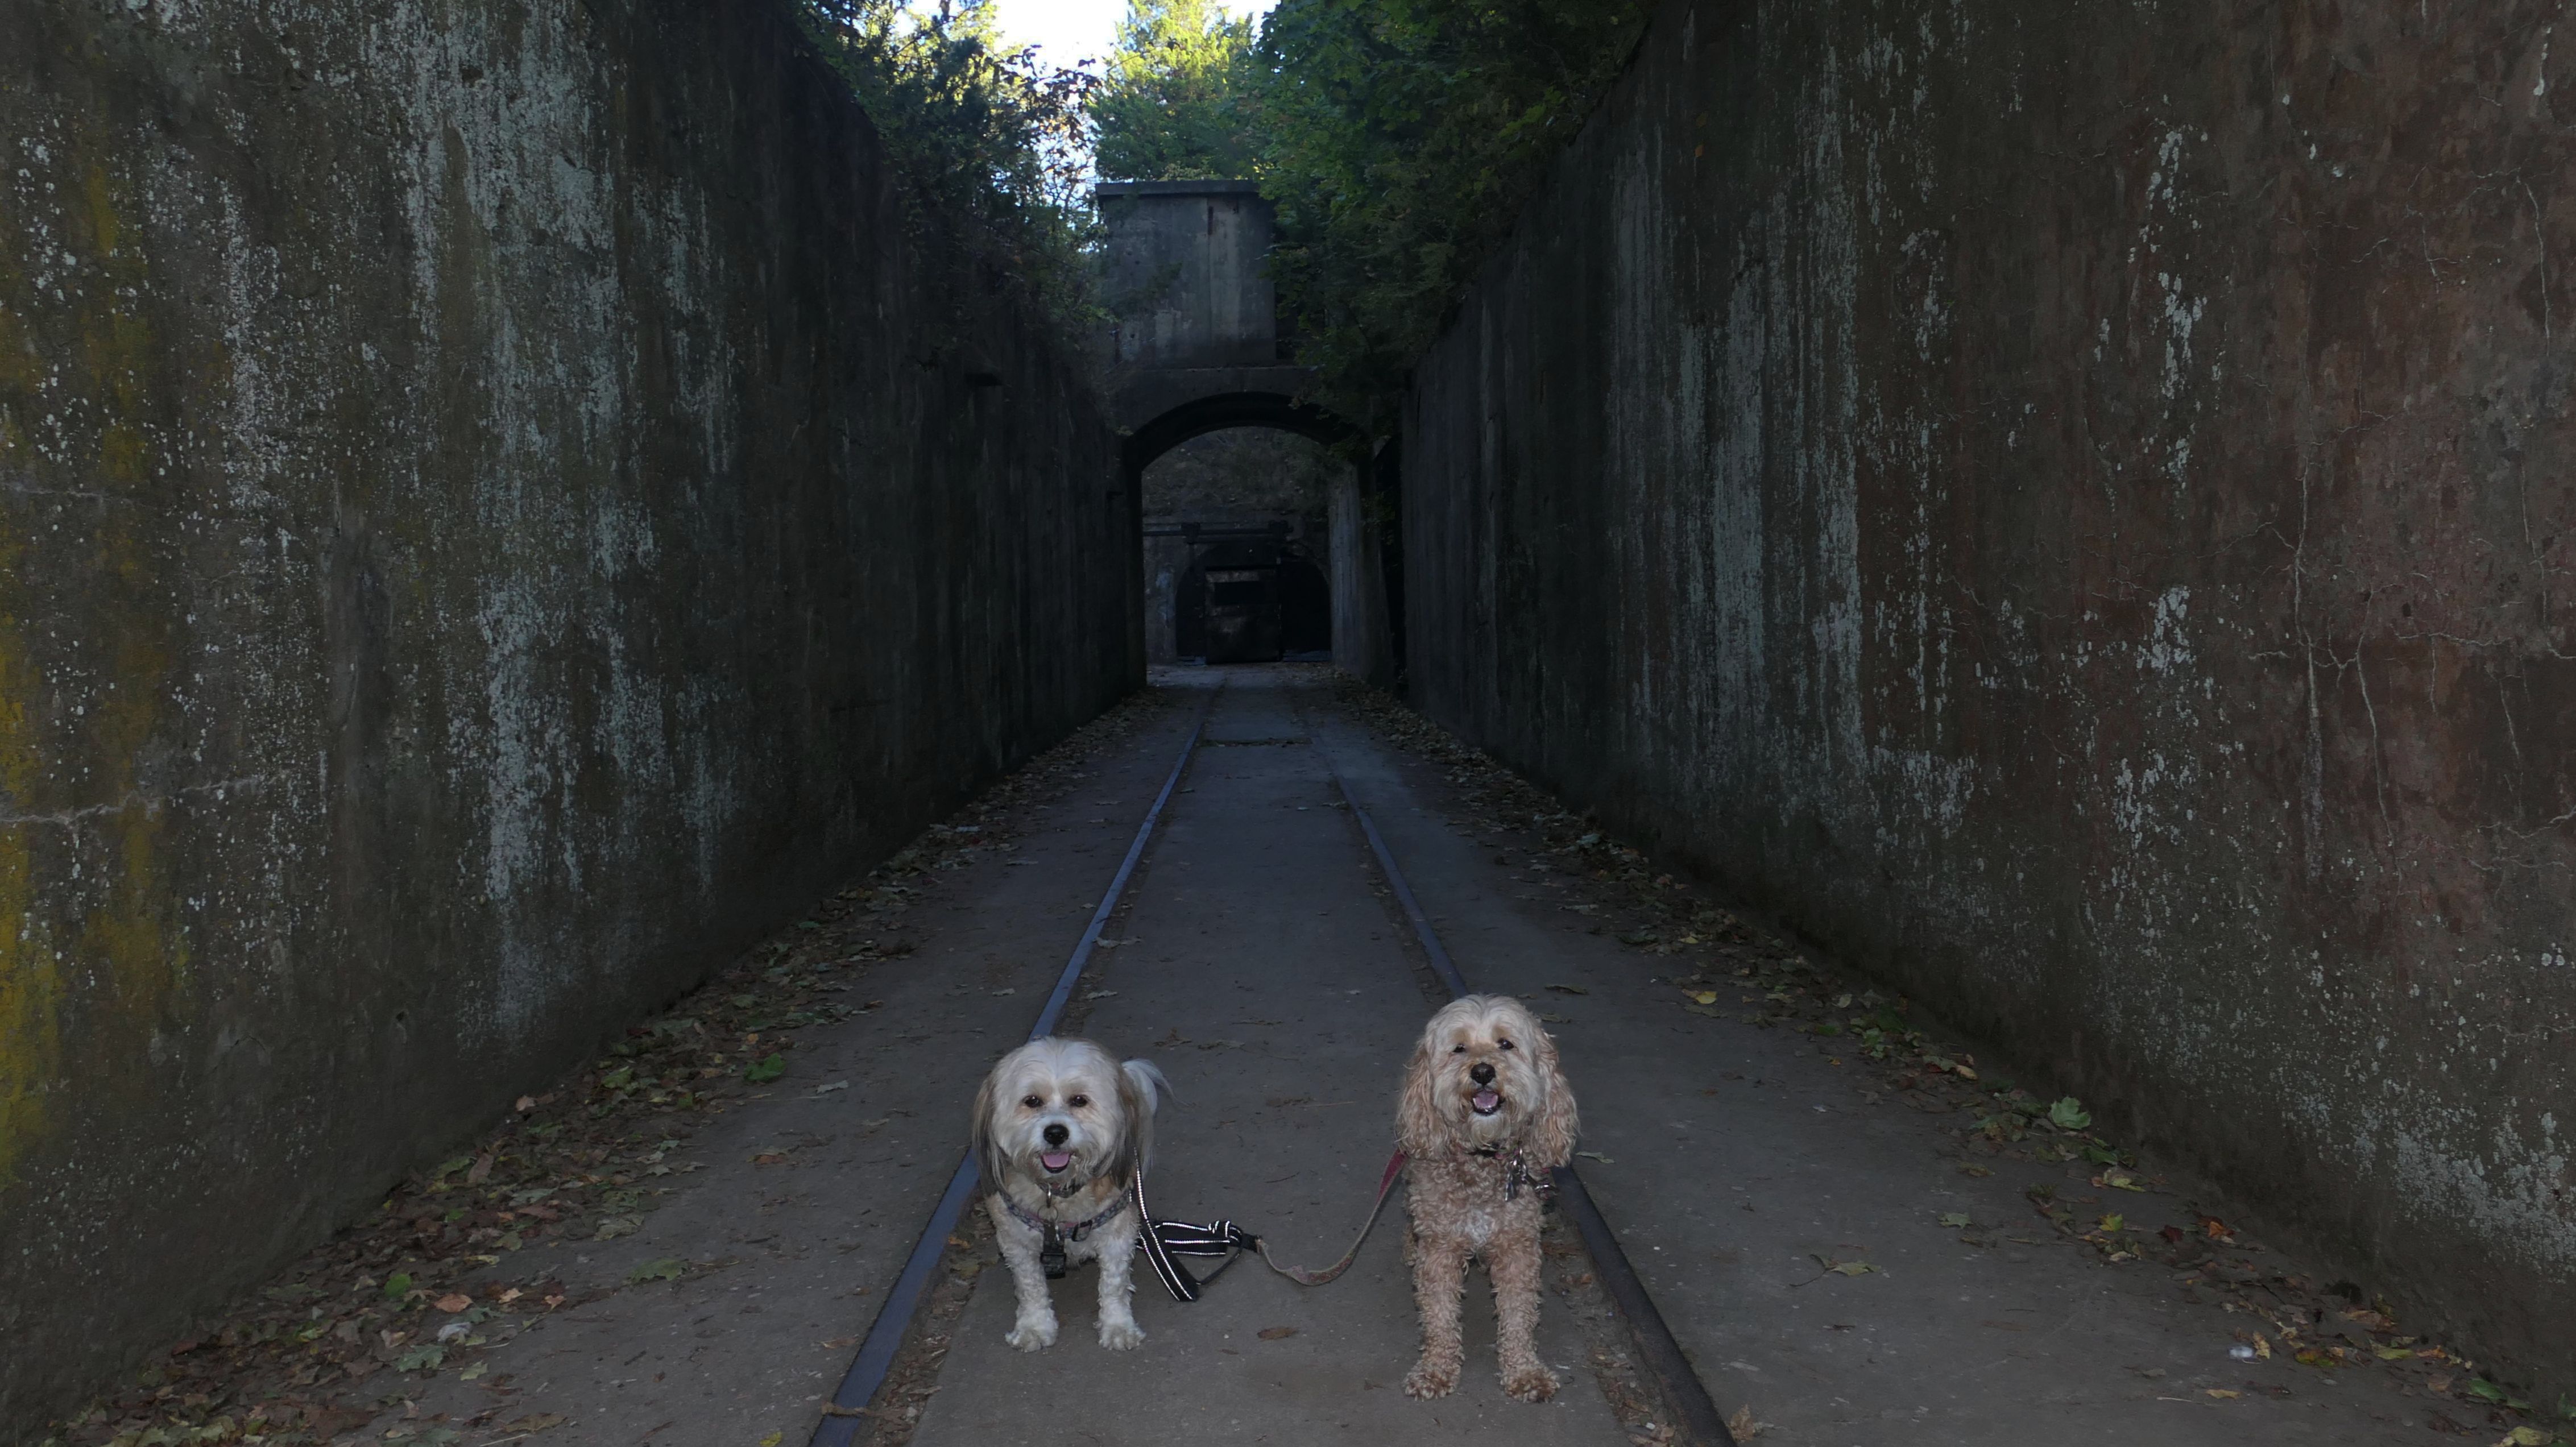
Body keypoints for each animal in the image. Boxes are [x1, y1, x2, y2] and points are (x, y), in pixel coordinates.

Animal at [970, 1036, 1170, 1351]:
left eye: (1079, 1100)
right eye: (1032, 1101)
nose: (1055, 1133)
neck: (1059, 1192)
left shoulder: (1118, 1234)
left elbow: (1114, 1285)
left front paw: (1118, 1326)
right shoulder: (1016, 1242)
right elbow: (1030, 1286)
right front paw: (1034, 1327)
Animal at [1395, 993, 1579, 1402]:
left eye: (1505, 1044)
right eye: (1459, 1048)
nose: (1482, 1071)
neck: (1482, 1158)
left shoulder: (1518, 1247)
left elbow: (1518, 1314)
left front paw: (1524, 1371)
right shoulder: (1441, 1247)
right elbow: (1439, 1314)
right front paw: (1436, 1369)